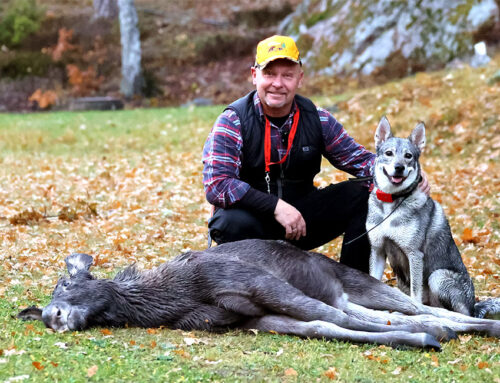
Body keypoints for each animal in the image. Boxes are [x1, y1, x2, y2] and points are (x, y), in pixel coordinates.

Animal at [366, 116, 498, 318]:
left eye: (408, 156)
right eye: (389, 153)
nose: (399, 167)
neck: (391, 203)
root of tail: (474, 307)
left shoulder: (414, 255)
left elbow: (416, 294)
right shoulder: (378, 250)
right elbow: (374, 280)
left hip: (438, 276)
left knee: (459, 313)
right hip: (403, 281)